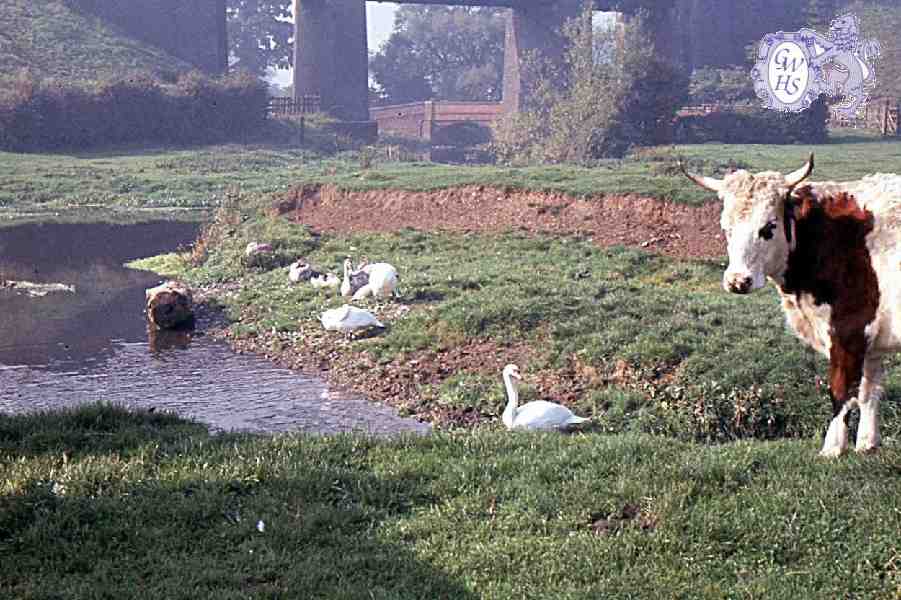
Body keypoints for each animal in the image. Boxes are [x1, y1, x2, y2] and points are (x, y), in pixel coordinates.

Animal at [684, 157, 900, 458]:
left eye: (768, 227)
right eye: (726, 228)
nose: (738, 281)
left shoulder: (848, 331)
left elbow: (841, 391)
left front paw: (832, 448)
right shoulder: (872, 340)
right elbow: (869, 392)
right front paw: (867, 444)